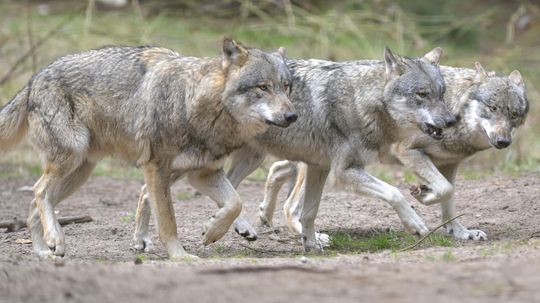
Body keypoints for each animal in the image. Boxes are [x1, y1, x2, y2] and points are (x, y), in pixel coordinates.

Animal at [0, 39, 296, 260]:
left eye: (286, 87)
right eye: (263, 87)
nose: (292, 116)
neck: (194, 104)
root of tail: (33, 79)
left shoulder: (202, 173)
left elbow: (235, 202)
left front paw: (212, 231)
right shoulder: (157, 168)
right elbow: (168, 222)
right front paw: (180, 257)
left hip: (82, 174)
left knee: (33, 204)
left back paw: (44, 251)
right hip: (72, 159)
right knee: (39, 190)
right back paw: (54, 239)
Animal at [133, 46, 454, 253]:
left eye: (442, 94)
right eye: (422, 95)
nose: (452, 121)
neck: (360, 102)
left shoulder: (318, 168)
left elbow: (309, 212)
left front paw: (310, 244)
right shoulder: (345, 172)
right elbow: (396, 193)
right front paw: (416, 224)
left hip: (249, 159)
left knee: (231, 193)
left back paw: (237, 229)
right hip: (189, 163)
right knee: (146, 191)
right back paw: (141, 242)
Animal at [258, 61, 528, 245]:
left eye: (514, 115)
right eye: (492, 108)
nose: (503, 141)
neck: (455, 111)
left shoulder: (450, 165)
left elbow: (448, 197)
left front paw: (461, 232)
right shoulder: (408, 152)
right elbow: (442, 190)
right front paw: (423, 195)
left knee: (276, 170)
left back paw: (265, 215)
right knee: (289, 205)